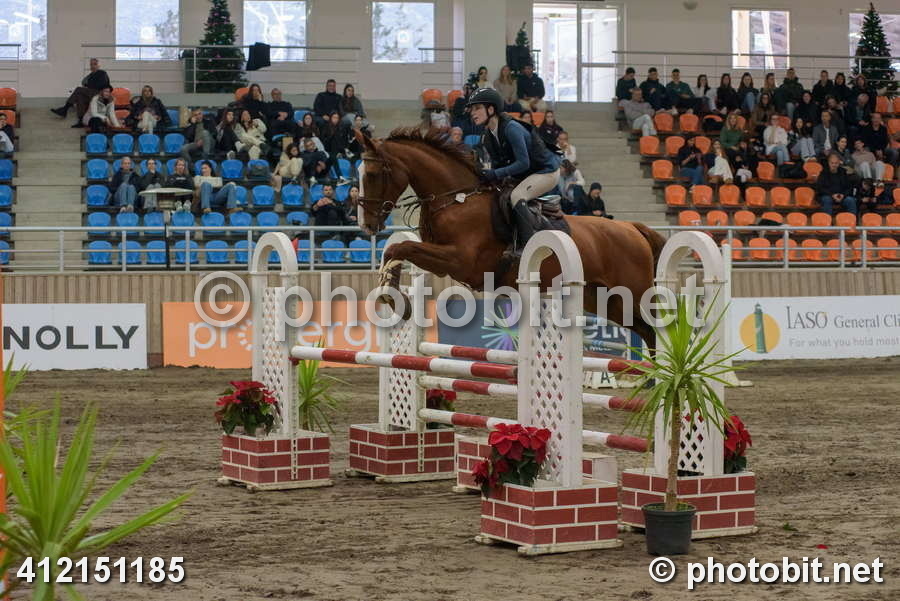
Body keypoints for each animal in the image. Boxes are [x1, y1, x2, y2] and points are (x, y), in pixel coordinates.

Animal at [354, 128, 667, 346]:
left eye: (372, 173)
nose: (366, 225)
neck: (456, 199)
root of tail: (633, 228)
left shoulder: (458, 260)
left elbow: (402, 248)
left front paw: (393, 297)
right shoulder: (442, 258)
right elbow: (395, 251)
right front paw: (392, 296)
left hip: (633, 293)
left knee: (657, 327)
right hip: (605, 299)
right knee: (645, 331)